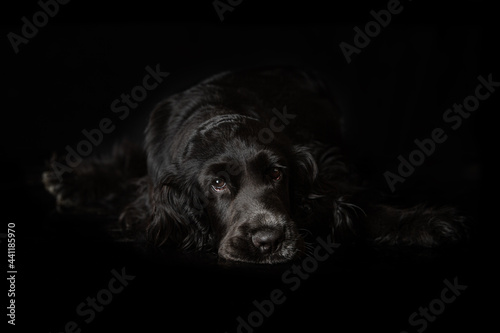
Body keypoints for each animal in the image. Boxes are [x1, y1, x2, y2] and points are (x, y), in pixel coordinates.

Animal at [42, 66, 464, 264]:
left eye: (276, 173)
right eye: (217, 184)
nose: (268, 240)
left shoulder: (326, 171)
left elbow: (356, 209)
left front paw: (426, 223)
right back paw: (71, 179)